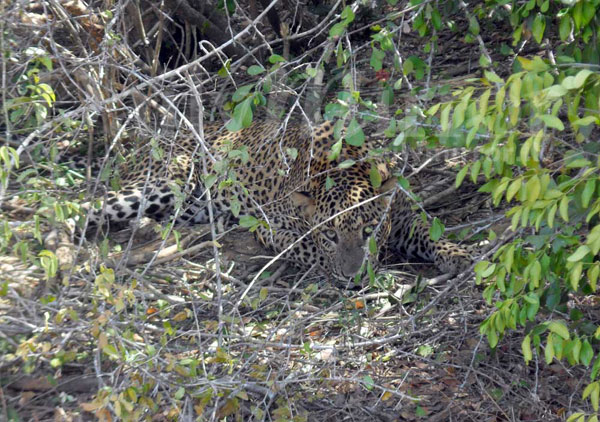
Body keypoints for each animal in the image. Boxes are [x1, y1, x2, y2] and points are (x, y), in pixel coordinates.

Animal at [78, 119, 474, 280]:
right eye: (330, 236)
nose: (354, 277)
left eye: (368, 230)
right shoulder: (270, 227)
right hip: (165, 180)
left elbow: (429, 230)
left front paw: (459, 256)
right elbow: (304, 247)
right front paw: (330, 265)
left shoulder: (402, 216)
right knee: (89, 209)